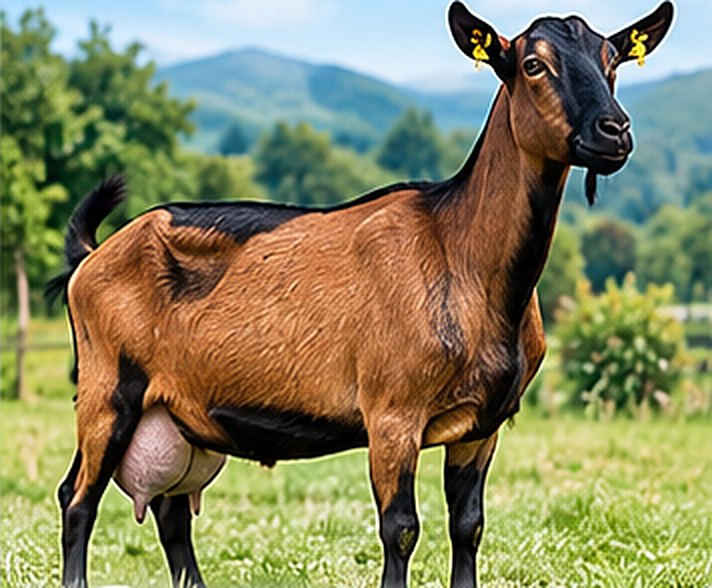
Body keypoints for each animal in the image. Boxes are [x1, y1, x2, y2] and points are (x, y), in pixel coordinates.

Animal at [55, 2, 673, 587]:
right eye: (533, 65)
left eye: (613, 60)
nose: (614, 130)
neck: (459, 252)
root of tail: (93, 256)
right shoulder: (391, 414)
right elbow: (400, 530)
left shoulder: (483, 426)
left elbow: (469, 526)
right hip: (108, 390)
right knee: (77, 500)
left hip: (181, 416)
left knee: (172, 513)